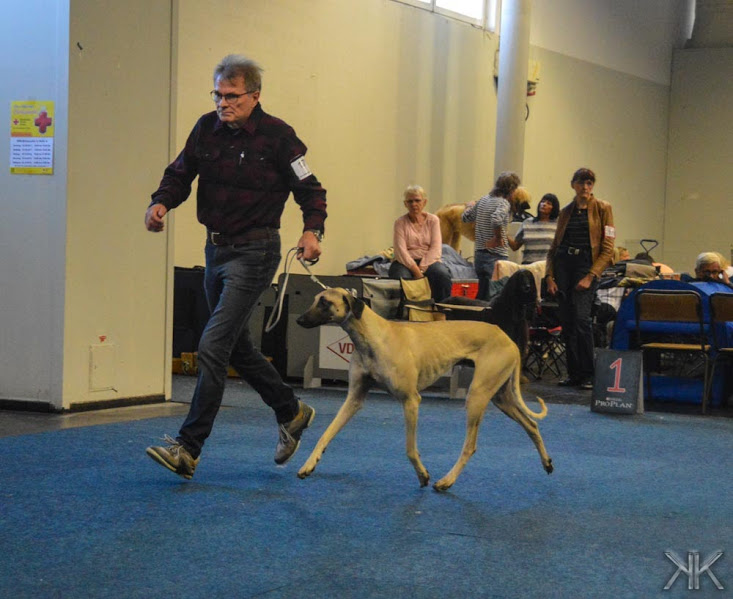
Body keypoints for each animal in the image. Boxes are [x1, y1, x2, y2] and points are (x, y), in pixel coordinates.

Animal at [295, 288, 553, 491]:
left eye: (324, 302)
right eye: (315, 299)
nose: (299, 320)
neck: (371, 337)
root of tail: (508, 339)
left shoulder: (411, 400)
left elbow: (410, 449)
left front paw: (423, 475)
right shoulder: (354, 398)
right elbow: (326, 433)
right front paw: (309, 464)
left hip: (477, 396)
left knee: (470, 446)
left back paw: (446, 481)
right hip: (500, 396)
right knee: (531, 424)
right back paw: (547, 463)